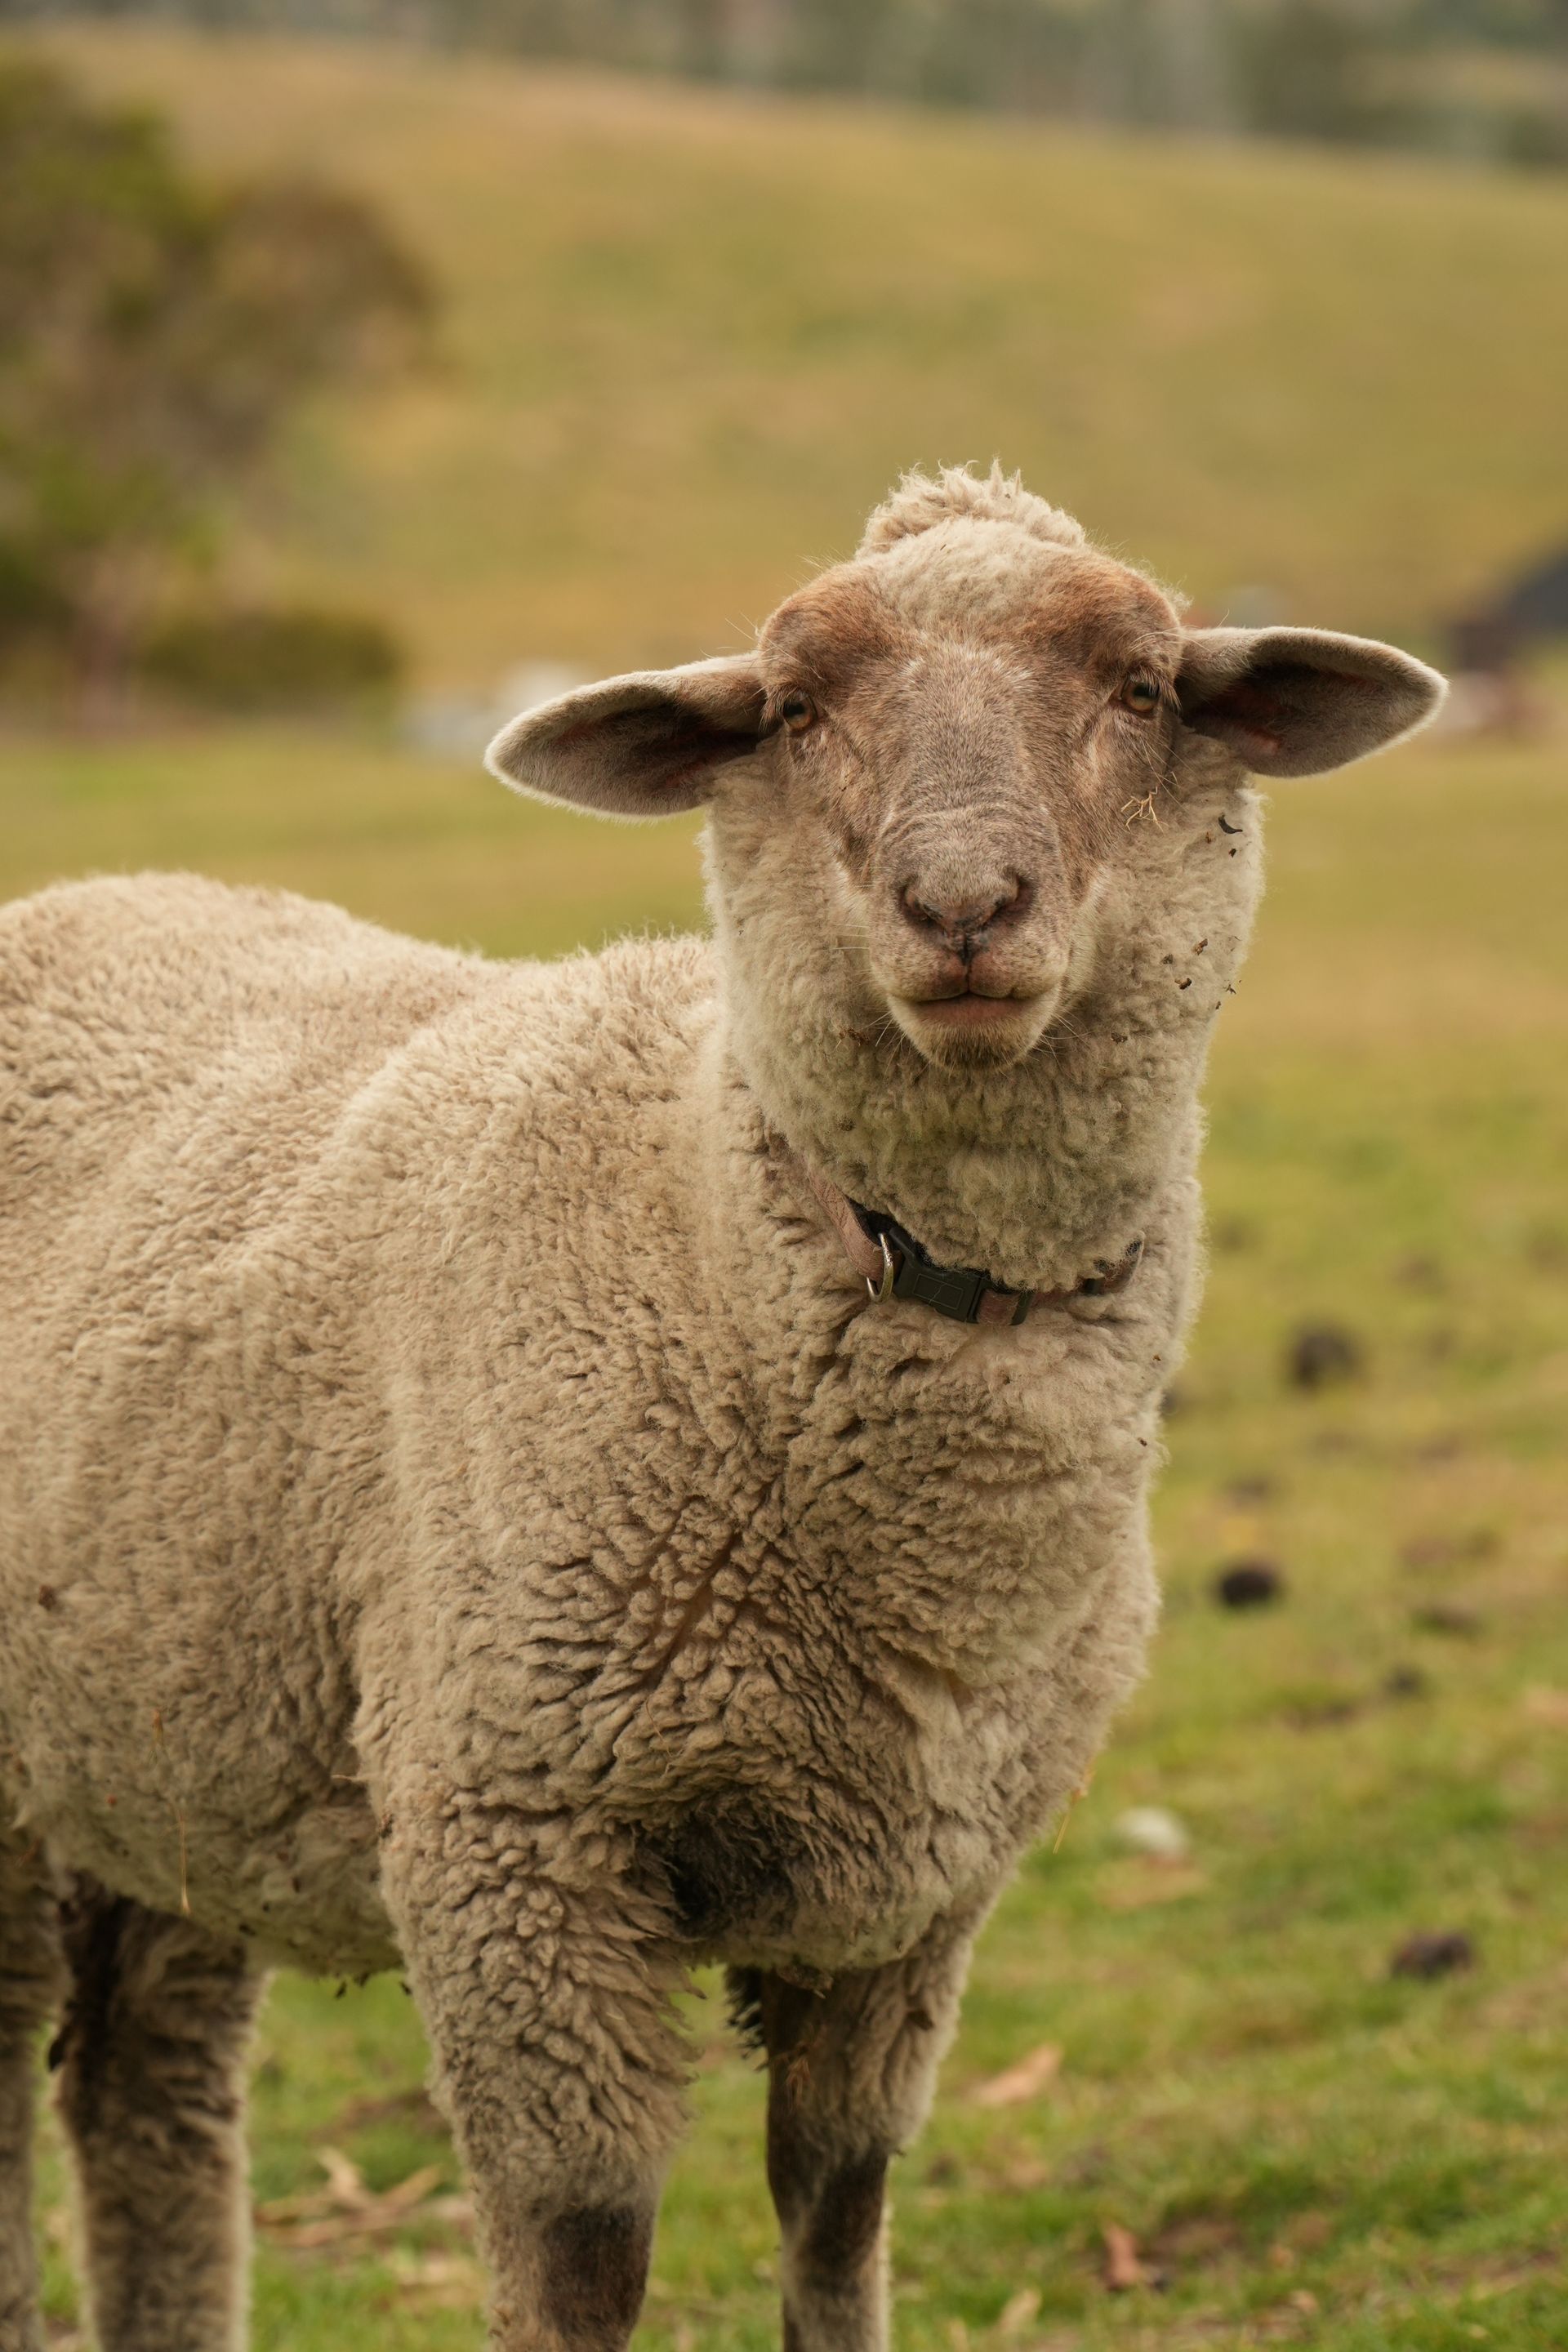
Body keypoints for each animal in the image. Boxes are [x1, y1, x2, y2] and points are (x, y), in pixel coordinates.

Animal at [0, 464, 1444, 2352]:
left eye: (1140, 689)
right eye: (796, 708)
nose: (962, 904)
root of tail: (93, 891)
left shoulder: (910, 1903)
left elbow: (837, 2222)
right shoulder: (515, 1854)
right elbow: (581, 2263)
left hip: (169, 1729)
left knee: (148, 2087)